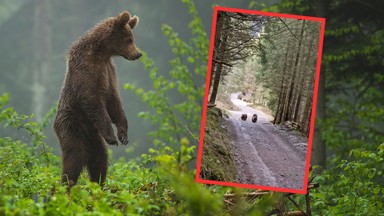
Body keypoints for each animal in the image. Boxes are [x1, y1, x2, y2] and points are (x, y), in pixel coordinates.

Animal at [53, 11, 142, 188]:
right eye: (128, 39)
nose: (138, 54)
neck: (102, 53)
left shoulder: (109, 71)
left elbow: (115, 102)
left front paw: (123, 136)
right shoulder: (86, 70)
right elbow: (92, 100)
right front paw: (112, 137)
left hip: (94, 138)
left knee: (99, 159)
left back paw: (98, 184)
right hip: (71, 125)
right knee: (74, 156)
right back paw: (66, 186)